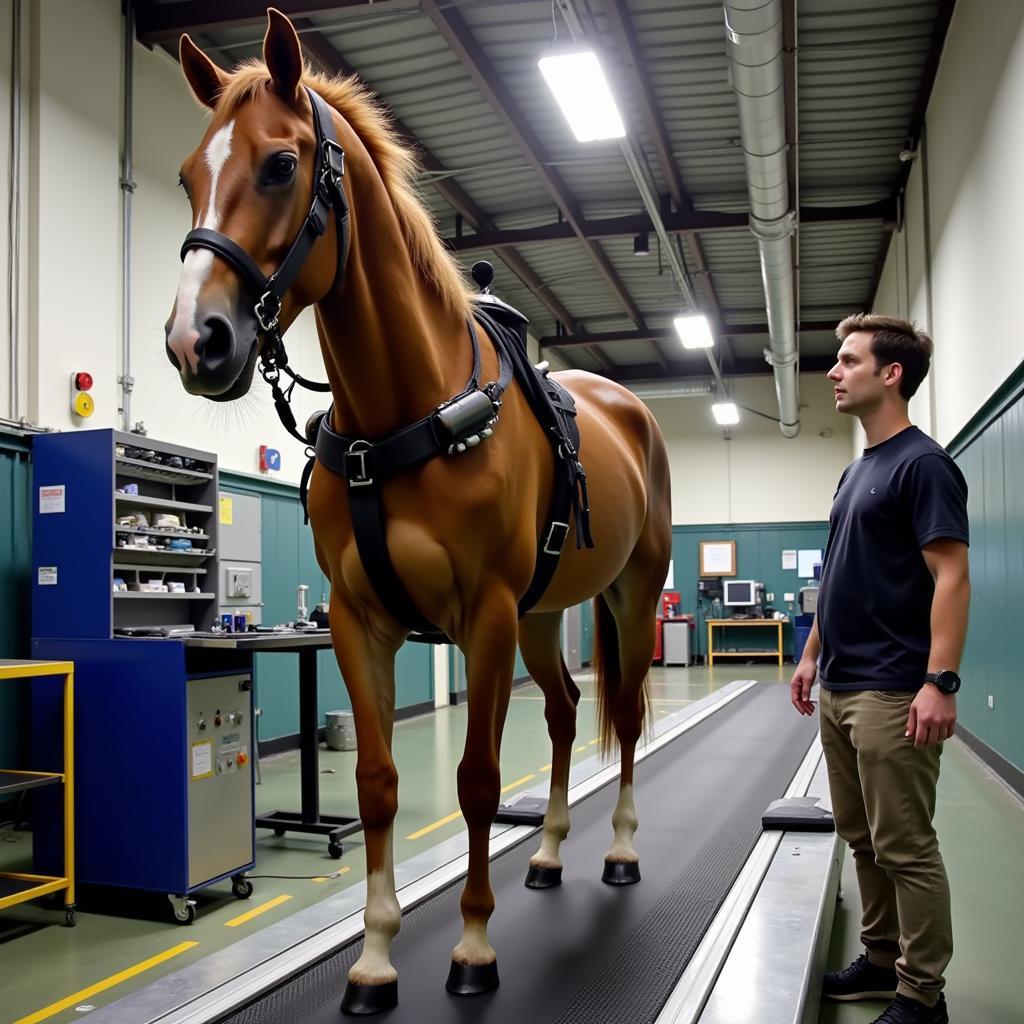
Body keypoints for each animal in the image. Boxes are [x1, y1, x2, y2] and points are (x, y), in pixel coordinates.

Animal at [165, 9, 671, 1015]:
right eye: (190, 175)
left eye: (280, 165)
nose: (194, 341)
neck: (399, 411)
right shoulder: (361, 623)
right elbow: (376, 784)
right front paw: (374, 958)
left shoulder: (484, 616)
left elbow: (476, 780)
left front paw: (472, 946)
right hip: (544, 616)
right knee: (564, 714)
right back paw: (549, 852)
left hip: (631, 594)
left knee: (627, 716)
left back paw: (622, 847)